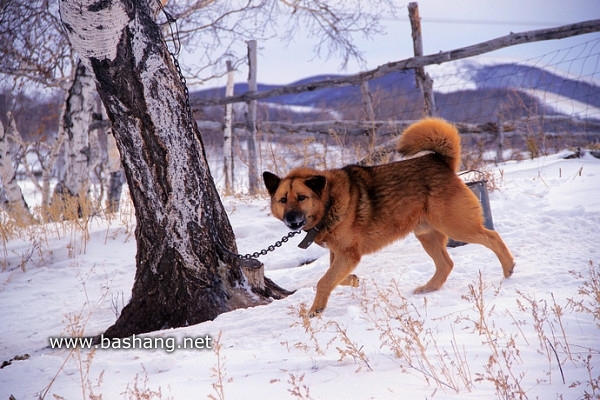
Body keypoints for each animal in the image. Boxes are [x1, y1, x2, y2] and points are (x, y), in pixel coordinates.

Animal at [264, 117, 516, 318]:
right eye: (283, 200)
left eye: (302, 197)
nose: (291, 219)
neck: (328, 202)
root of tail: (440, 162)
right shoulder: (340, 254)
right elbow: (336, 277)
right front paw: (353, 280)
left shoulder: (348, 254)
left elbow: (324, 281)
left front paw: (315, 310)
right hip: (427, 234)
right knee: (446, 264)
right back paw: (428, 288)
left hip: (456, 226)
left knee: (492, 237)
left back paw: (508, 269)